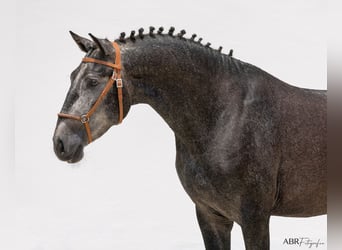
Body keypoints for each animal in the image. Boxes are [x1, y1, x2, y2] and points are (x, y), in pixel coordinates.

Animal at [52, 26, 326, 249]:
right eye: (71, 76)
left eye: (92, 81)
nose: (60, 143)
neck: (225, 116)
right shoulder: (210, 215)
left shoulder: (255, 219)